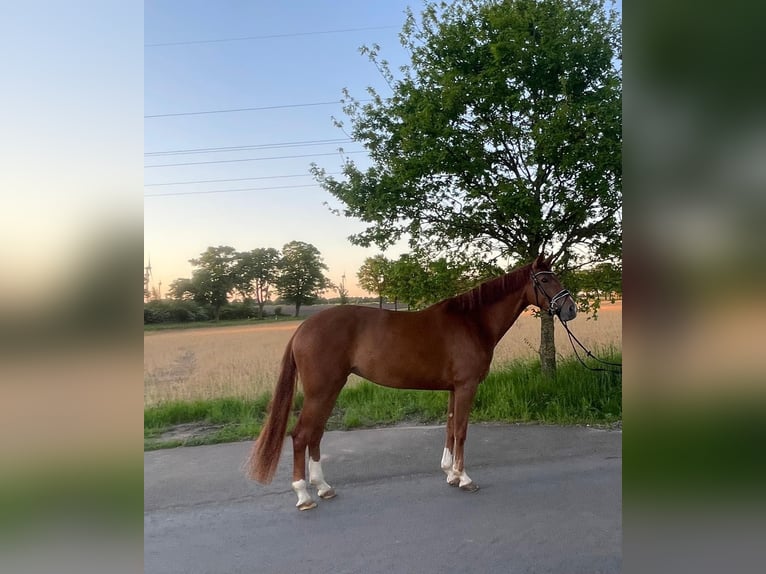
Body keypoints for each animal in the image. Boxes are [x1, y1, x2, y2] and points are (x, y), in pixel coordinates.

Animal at [246, 254, 576, 510]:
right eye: (546, 280)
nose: (570, 309)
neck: (472, 321)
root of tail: (303, 328)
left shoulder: (454, 389)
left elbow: (450, 428)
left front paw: (450, 474)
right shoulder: (466, 386)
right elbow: (461, 431)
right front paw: (465, 479)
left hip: (330, 389)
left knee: (315, 434)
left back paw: (324, 488)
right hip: (321, 390)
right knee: (301, 435)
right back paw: (304, 495)